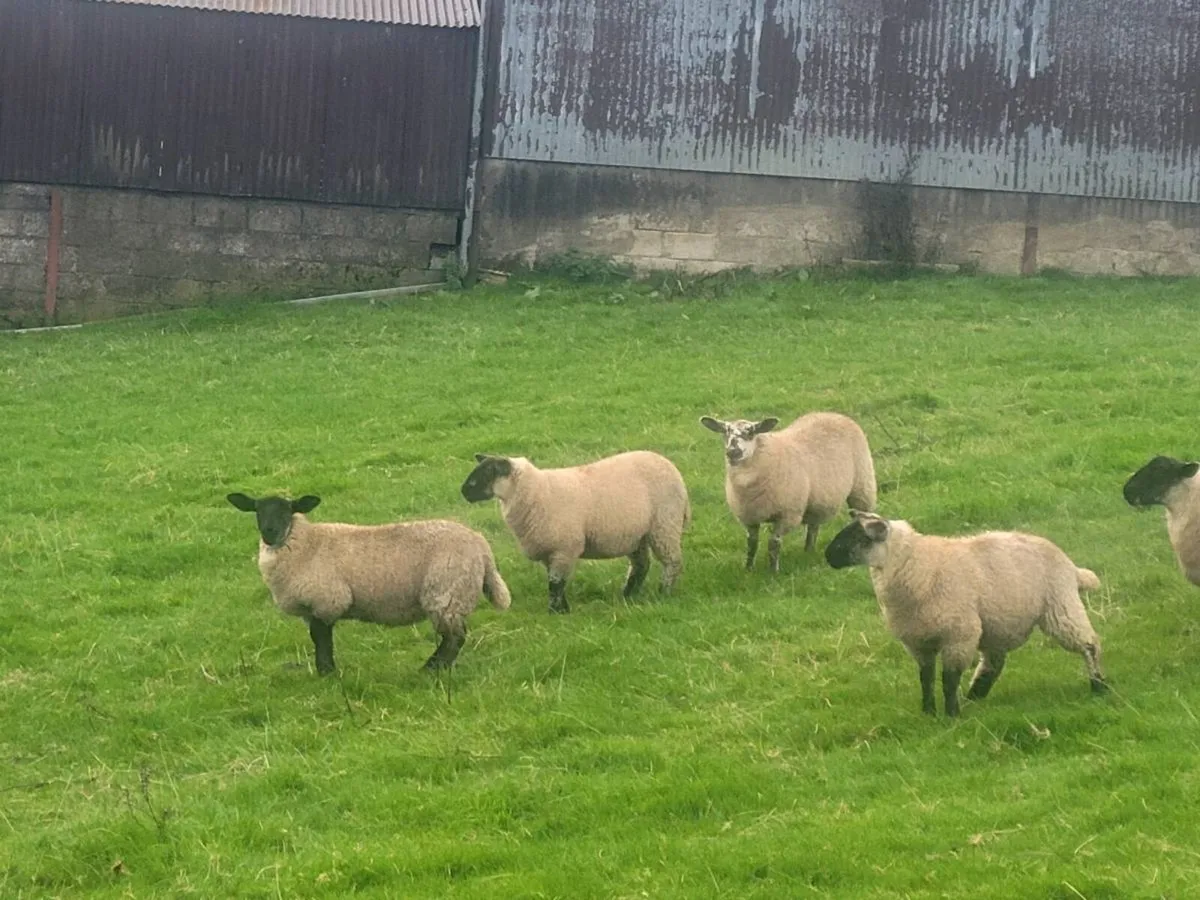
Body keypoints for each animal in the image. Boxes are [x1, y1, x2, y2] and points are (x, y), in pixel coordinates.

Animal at [226, 492, 510, 674]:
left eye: (287, 510)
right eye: (258, 511)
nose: (269, 532)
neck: (305, 543)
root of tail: (482, 546)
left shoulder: (326, 601)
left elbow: (322, 639)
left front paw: (327, 673)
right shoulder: (311, 609)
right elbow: (317, 639)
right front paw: (325, 671)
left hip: (446, 593)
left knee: (454, 639)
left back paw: (430, 670)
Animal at [460, 451, 690, 613]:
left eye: (484, 474)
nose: (463, 492)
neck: (537, 491)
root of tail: (671, 467)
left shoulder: (564, 548)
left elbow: (555, 583)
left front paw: (555, 612)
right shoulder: (551, 552)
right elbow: (555, 581)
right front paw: (563, 608)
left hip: (664, 524)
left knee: (672, 562)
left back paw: (664, 592)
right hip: (636, 535)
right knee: (641, 565)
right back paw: (627, 595)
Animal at [699, 412, 877, 572]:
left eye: (751, 432)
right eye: (725, 432)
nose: (733, 452)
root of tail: (833, 414)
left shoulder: (788, 514)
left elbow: (773, 543)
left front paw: (773, 572)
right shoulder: (749, 516)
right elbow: (751, 543)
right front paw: (748, 569)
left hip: (862, 486)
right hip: (817, 501)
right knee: (813, 527)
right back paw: (808, 551)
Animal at [824, 511, 1108, 717]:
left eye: (859, 538)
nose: (828, 557)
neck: (917, 565)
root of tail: (1071, 567)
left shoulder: (958, 635)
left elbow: (948, 679)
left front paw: (951, 714)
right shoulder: (918, 642)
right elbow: (926, 678)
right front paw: (928, 712)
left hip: (1060, 606)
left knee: (1089, 644)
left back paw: (1099, 685)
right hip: (997, 621)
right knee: (994, 662)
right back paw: (975, 697)